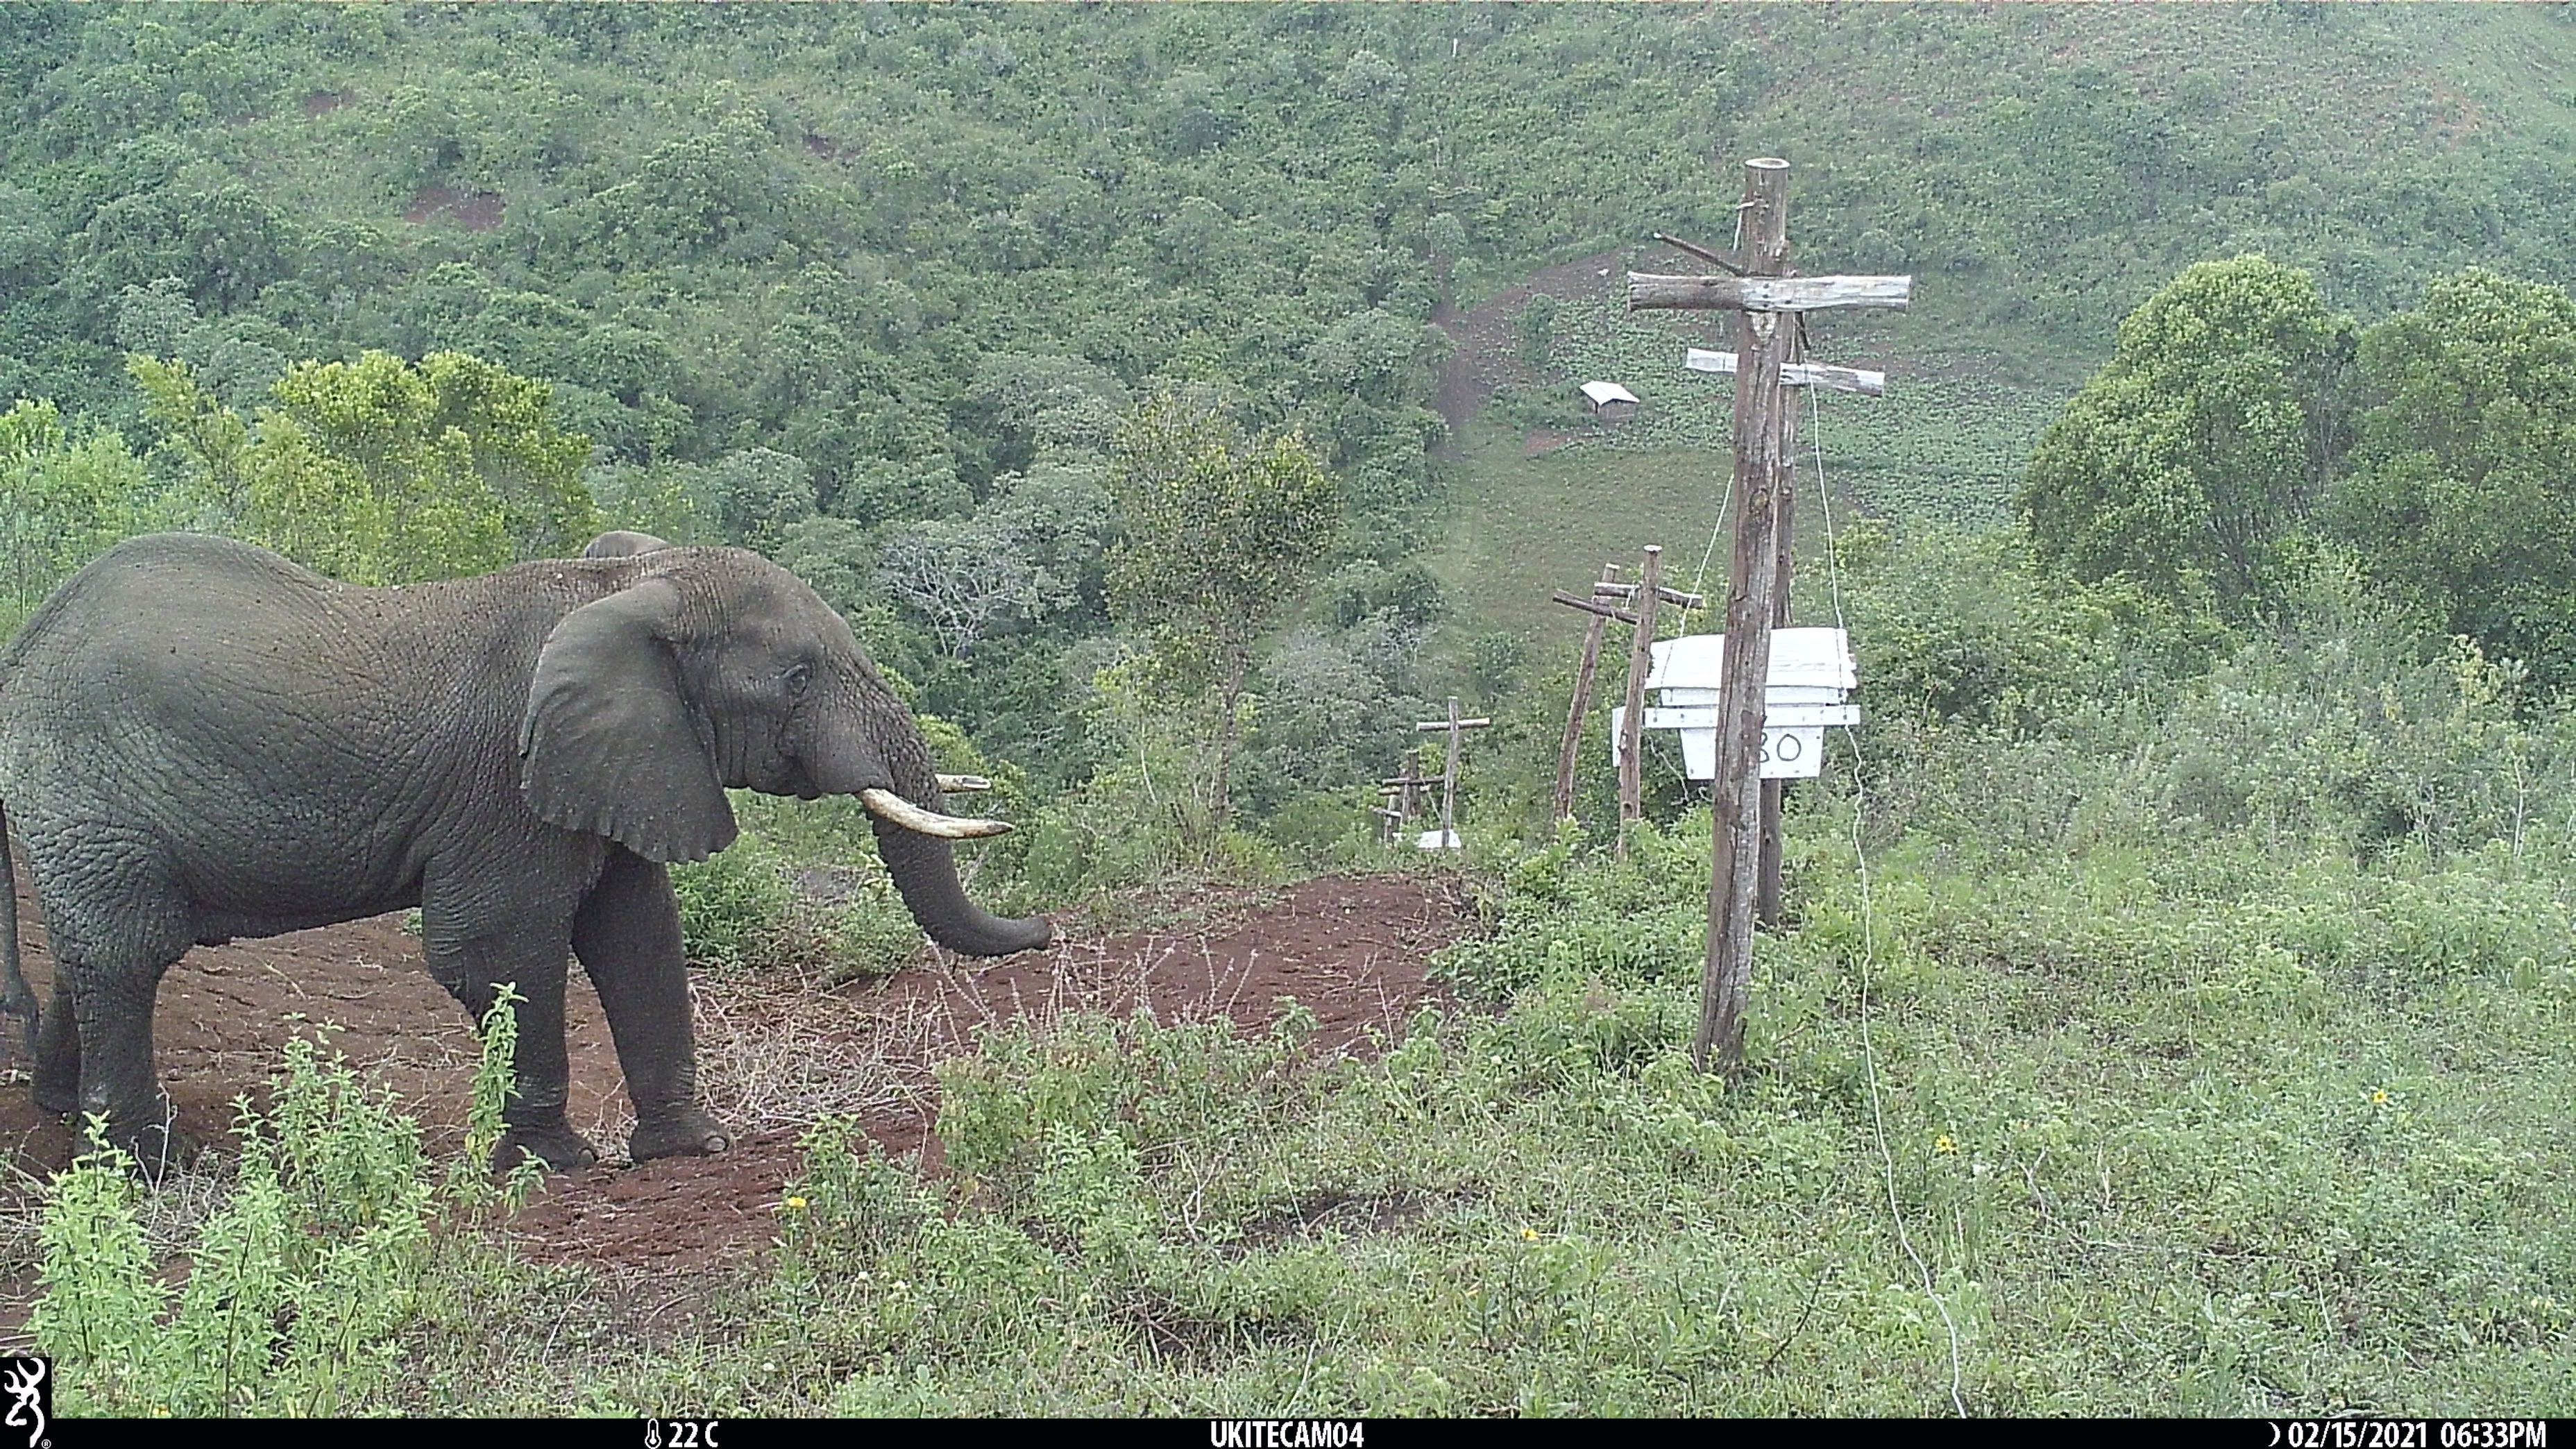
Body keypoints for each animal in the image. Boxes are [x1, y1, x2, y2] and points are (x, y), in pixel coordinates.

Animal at [0, 530, 1052, 1172]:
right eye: (796, 678)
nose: (1044, 928)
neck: (624, 587)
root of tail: (27, 643)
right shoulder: (507, 791)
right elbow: (493, 949)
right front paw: (558, 1165)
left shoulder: (624, 762)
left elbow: (638, 935)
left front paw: (691, 1149)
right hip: (89, 790)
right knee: (128, 954)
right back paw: (146, 1165)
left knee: (97, 957)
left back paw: (61, 1115)